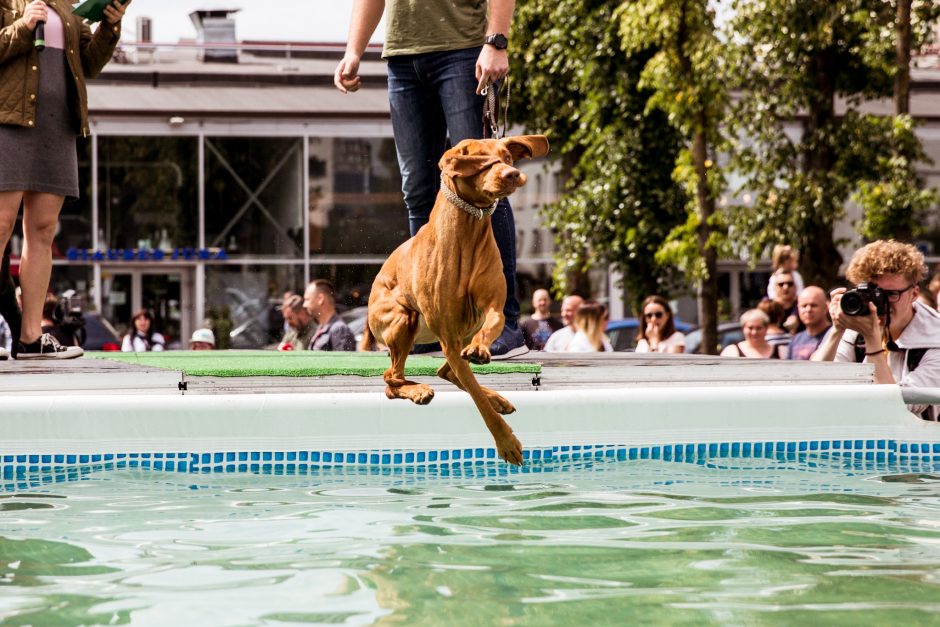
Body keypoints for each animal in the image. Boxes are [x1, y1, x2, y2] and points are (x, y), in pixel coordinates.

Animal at [362, 136, 552, 466]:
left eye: (506, 157)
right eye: (481, 160)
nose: (512, 174)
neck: (468, 230)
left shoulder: (492, 309)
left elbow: (490, 328)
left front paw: (480, 351)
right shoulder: (449, 338)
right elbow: (475, 396)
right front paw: (506, 442)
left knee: (442, 371)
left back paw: (496, 396)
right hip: (403, 320)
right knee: (392, 381)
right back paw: (419, 391)